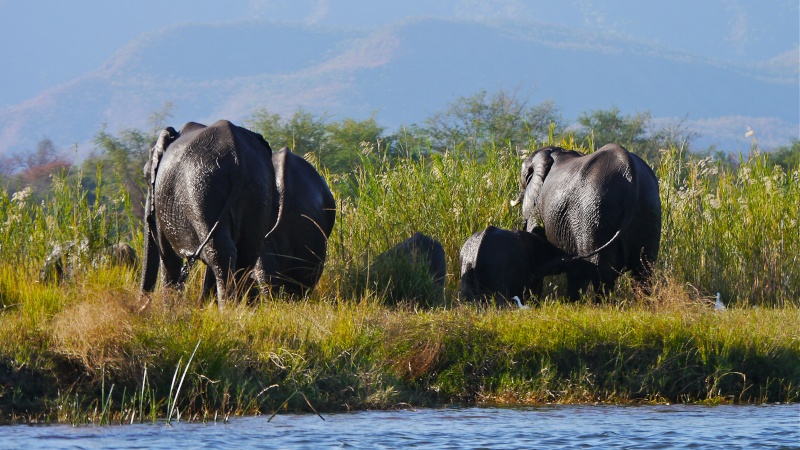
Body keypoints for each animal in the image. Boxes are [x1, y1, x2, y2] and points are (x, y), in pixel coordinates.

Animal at [138, 119, 276, 306]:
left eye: (146, 177)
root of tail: (238, 157)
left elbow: (168, 257)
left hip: (201, 188)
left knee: (219, 252)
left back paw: (228, 309)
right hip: (259, 187)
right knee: (247, 252)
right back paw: (244, 308)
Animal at [512, 144, 664, 298]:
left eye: (524, 179)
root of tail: (631, 176)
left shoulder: (536, 204)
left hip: (594, 213)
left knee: (601, 272)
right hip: (649, 211)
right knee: (644, 270)